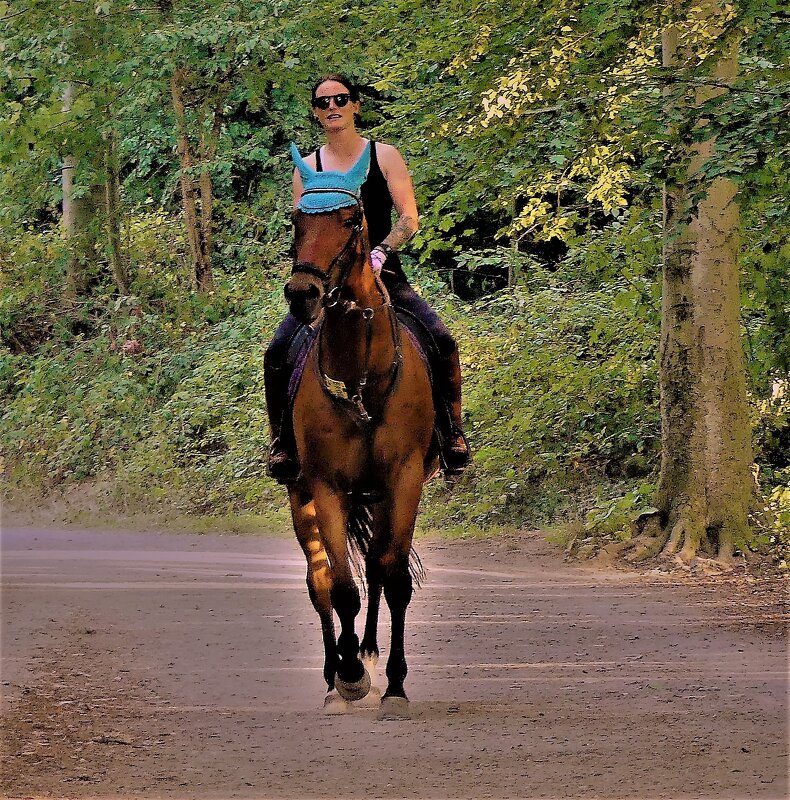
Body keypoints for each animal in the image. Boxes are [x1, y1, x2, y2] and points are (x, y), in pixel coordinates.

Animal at [284, 184, 436, 720]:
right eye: (296, 222)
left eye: (352, 220)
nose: (302, 294)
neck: (360, 379)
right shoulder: (327, 487)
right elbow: (343, 589)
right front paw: (349, 677)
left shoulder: (404, 480)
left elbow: (394, 579)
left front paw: (394, 685)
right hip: (303, 498)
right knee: (320, 580)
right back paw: (336, 675)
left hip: (378, 496)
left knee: (374, 564)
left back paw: (368, 653)